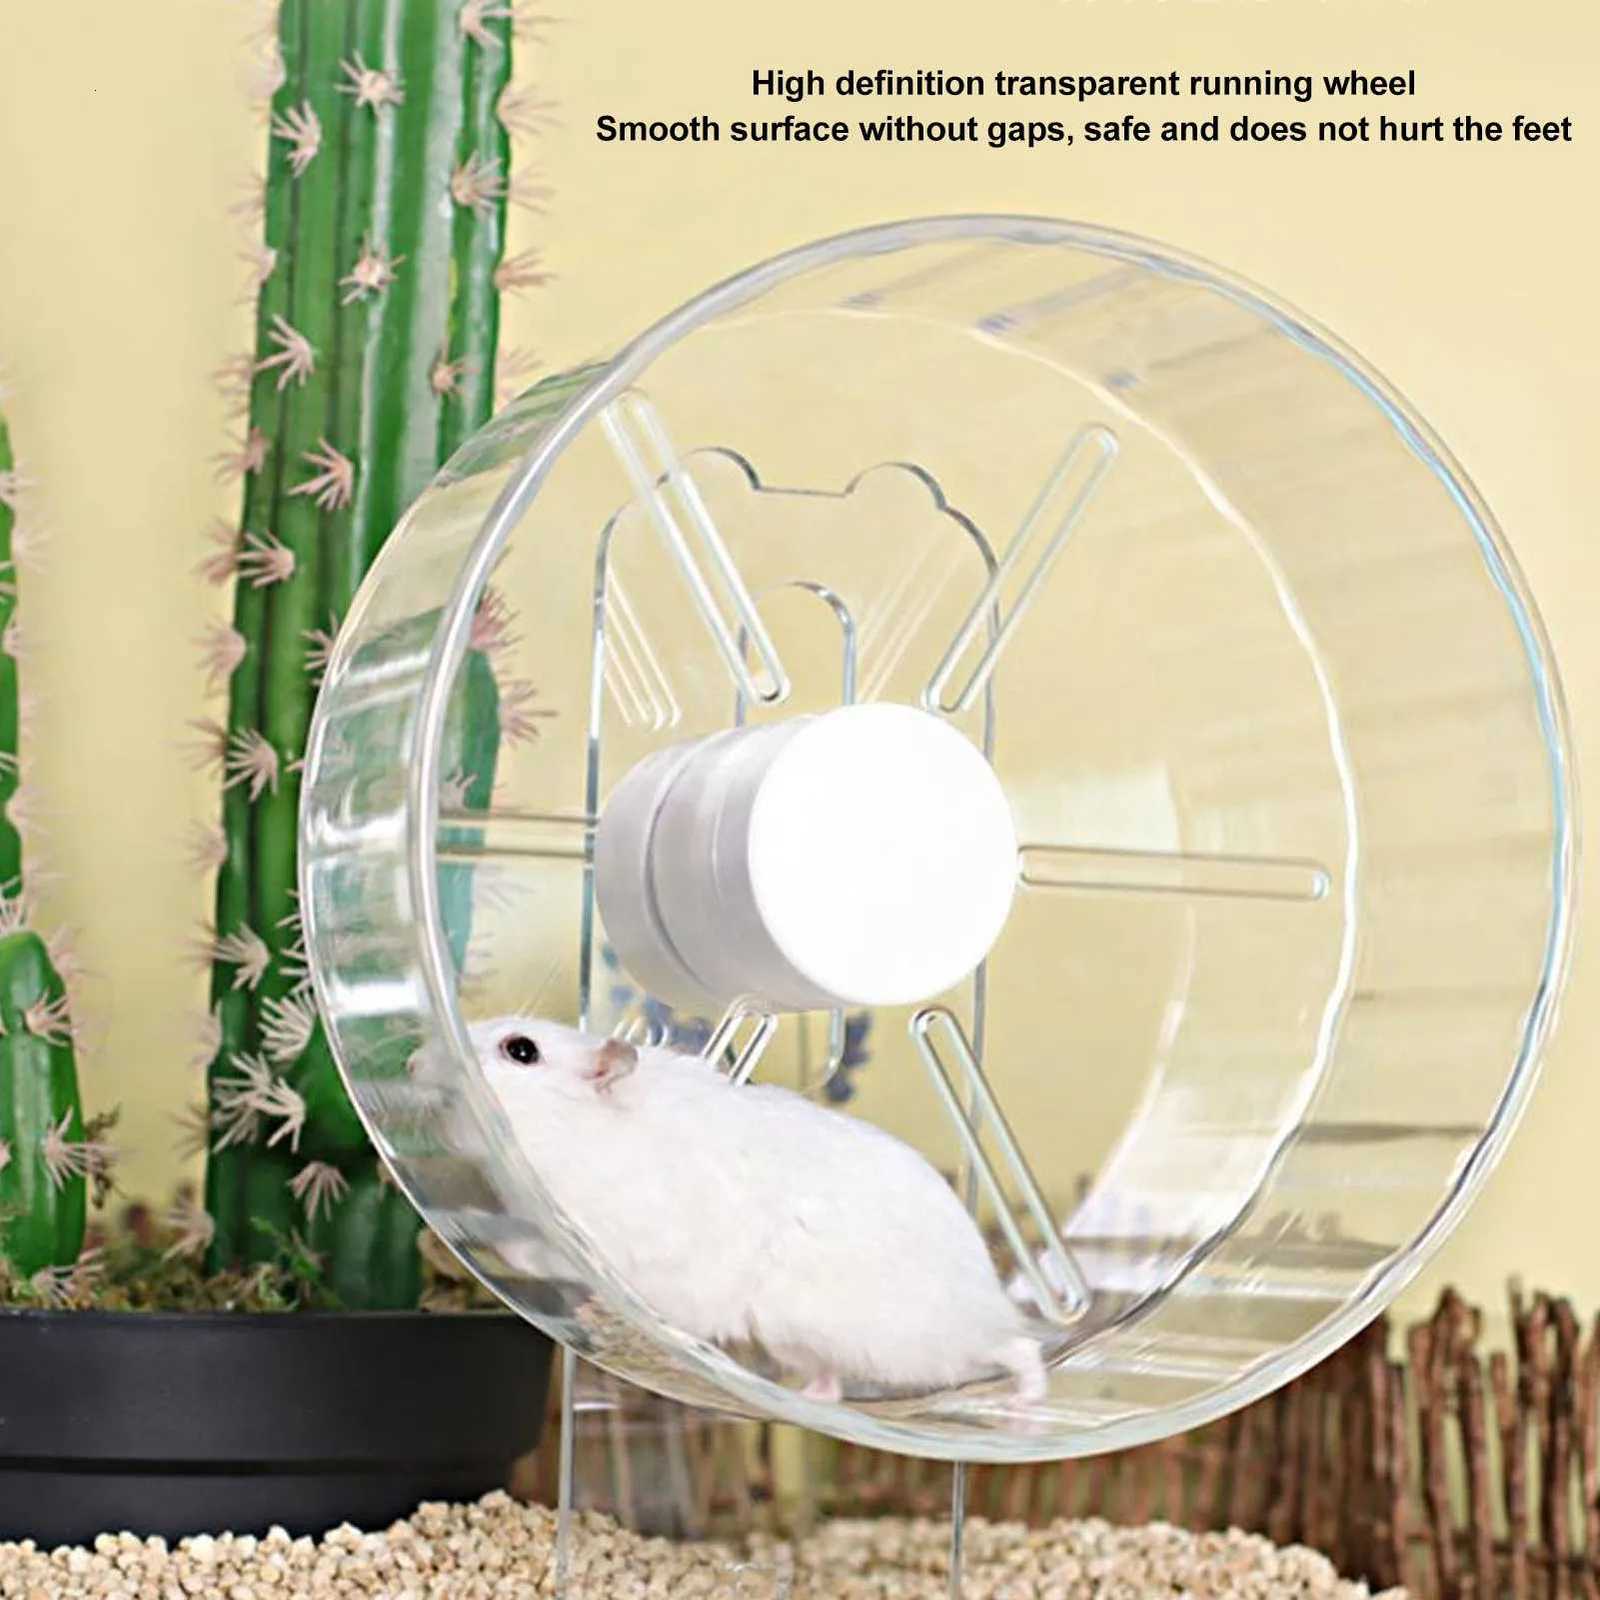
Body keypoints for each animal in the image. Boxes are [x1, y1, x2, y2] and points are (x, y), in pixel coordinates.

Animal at [469, 1014, 1047, 1403]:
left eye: (521, 1050)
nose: (420, 1058)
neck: (579, 1131)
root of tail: (991, 1296)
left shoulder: (598, 1238)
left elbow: (534, 1253)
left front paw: (486, 1243)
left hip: (916, 1347)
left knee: (1018, 1349)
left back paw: (1024, 1401)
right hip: (796, 1341)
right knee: (833, 1383)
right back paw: (808, 1398)